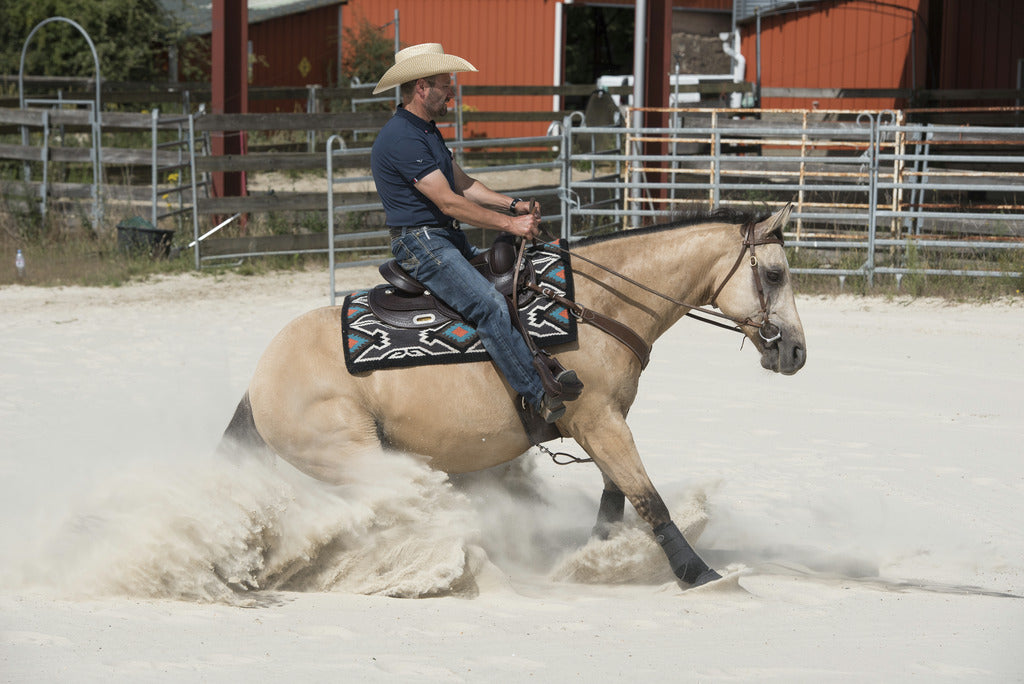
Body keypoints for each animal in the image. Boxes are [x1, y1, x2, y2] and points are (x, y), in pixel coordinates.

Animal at [222, 204, 806, 589]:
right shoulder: (598, 420)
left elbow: (614, 496)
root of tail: (259, 380)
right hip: (354, 455)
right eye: (776, 274)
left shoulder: (603, 424)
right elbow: (647, 497)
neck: (593, 307)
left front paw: (600, 557)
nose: (796, 351)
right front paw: (697, 572)